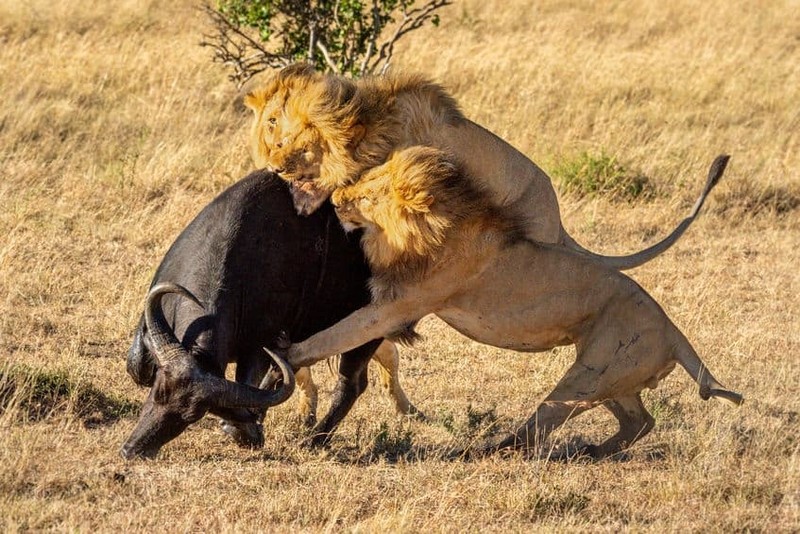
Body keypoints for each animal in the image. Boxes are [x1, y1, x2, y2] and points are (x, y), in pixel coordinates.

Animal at [270, 149, 744, 458]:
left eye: (367, 195)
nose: (334, 200)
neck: (441, 223)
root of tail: (674, 332)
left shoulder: (398, 306)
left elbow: (334, 335)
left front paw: (287, 354)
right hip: (609, 374)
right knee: (640, 420)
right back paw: (595, 451)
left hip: (589, 374)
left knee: (541, 426)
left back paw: (485, 449)